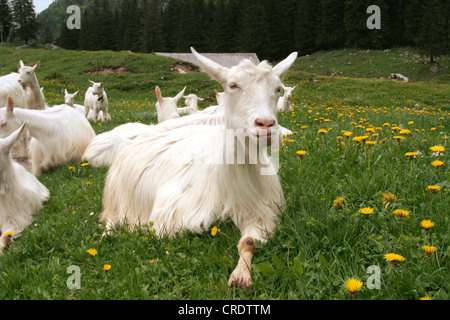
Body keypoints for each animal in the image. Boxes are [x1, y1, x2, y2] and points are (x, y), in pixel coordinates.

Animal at [100, 47, 298, 290]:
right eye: (232, 85)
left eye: (278, 88)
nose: (266, 125)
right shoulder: (171, 215)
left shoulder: (262, 213)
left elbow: (249, 242)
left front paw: (241, 275)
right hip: (117, 199)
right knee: (111, 220)